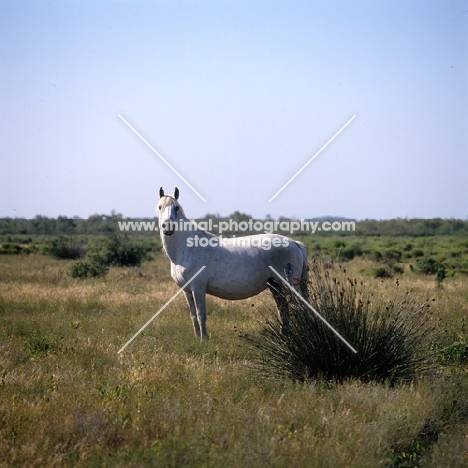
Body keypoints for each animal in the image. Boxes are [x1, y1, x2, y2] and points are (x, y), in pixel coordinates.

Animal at [158, 186, 310, 340]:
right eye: (160, 207)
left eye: (176, 207)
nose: (168, 227)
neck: (187, 249)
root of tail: (294, 243)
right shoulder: (187, 290)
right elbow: (193, 316)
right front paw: (197, 338)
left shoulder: (198, 288)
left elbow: (201, 315)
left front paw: (204, 340)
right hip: (275, 285)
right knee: (283, 310)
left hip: (289, 285)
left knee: (301, 309)